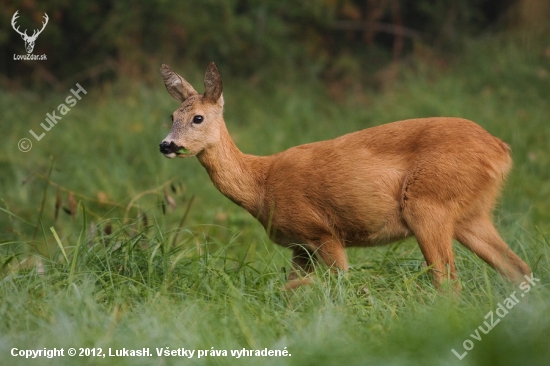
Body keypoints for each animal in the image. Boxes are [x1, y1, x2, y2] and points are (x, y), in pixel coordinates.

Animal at [158, 63, 532, 292]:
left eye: (198, 118)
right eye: (172, 115)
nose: (166, 144)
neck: (261, 185)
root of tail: (501, 150)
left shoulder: (322, 232)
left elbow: (336, 284)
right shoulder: (300, 247)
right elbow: (288, 289)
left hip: (428, 202)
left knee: (448, 282)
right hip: (471, 213)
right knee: (518, 269)